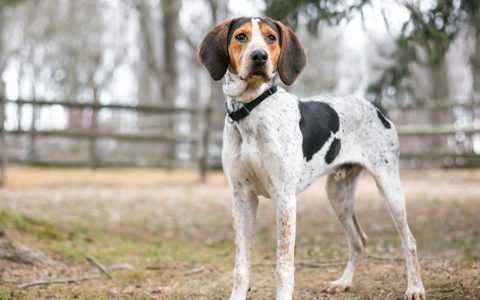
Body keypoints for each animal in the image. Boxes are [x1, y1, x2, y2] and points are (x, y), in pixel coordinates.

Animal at [197, 17, 426, 300]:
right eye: (241, 36)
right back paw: (343, 282)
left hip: (389, 187)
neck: (251, 109)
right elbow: (241, 266)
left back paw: (415, 288)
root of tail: (377, 110)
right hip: (337, 194)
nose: (259, 56)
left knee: (409, 241)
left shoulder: (284, 199)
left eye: (271, 38)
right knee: (358, 240)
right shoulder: (242, 198)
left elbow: (284, 266)